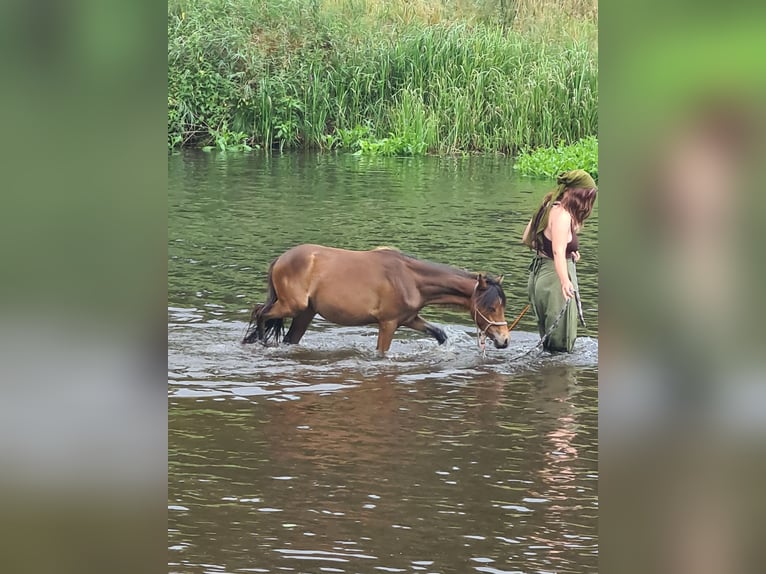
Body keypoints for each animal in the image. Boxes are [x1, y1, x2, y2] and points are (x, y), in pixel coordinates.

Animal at [243, 243, 512, 356]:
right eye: (491, 307)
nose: (504, 340)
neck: (410, 278)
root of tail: (280, 259)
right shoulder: (389, 324)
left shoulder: (409, 319)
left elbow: (439, 334)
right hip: (292, 306)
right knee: (259, 312)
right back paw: (259, 342)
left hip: (305, 313)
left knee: (288, 337)